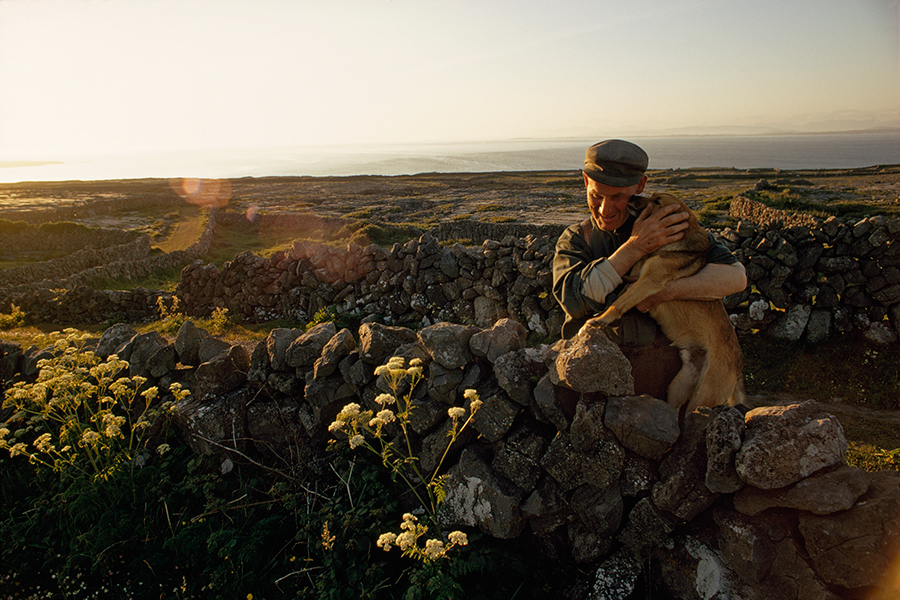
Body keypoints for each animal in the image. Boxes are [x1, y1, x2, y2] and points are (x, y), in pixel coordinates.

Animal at [584, 192, 744, 412]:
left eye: (657, 201)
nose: (632, 196)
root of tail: (738, 369)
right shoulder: (635, 278)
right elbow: (619, 297)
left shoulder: (647, 281)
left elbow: (619, 303)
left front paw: (600, 320)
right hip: (678, 387)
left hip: (704, 395)